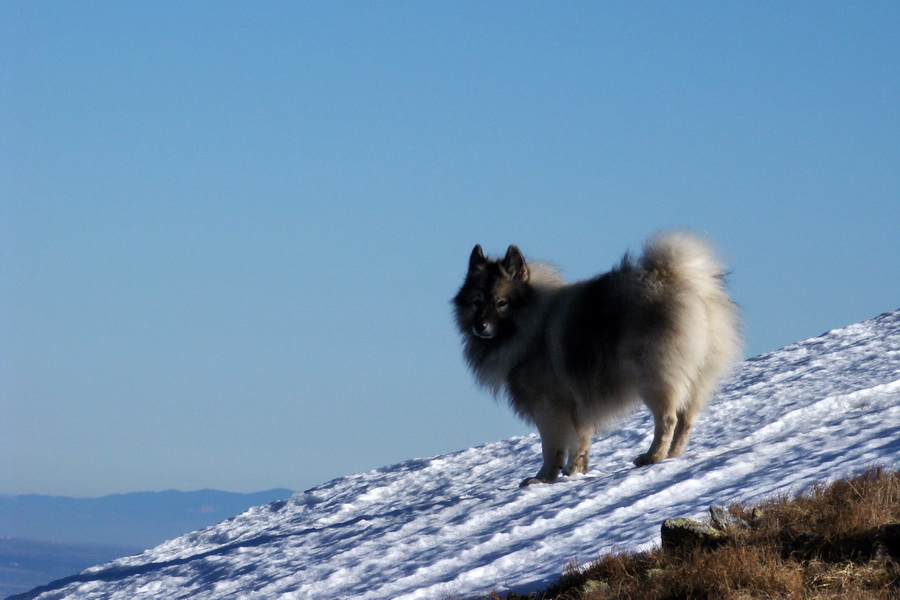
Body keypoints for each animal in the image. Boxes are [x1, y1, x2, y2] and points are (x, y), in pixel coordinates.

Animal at [454, 232, 740, 486]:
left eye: (501, 302)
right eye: (476, 302)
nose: (480, 326)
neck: (533, 325)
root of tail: (680, 278)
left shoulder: (549, 408)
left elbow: (551, 448)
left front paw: (543, 479)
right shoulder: (577, 405)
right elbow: (579, 443)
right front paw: (575, 473)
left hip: (653, 378)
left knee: (667, 419)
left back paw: (652, 456)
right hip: (694, 379)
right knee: (686, 420)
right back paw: (672, 455)